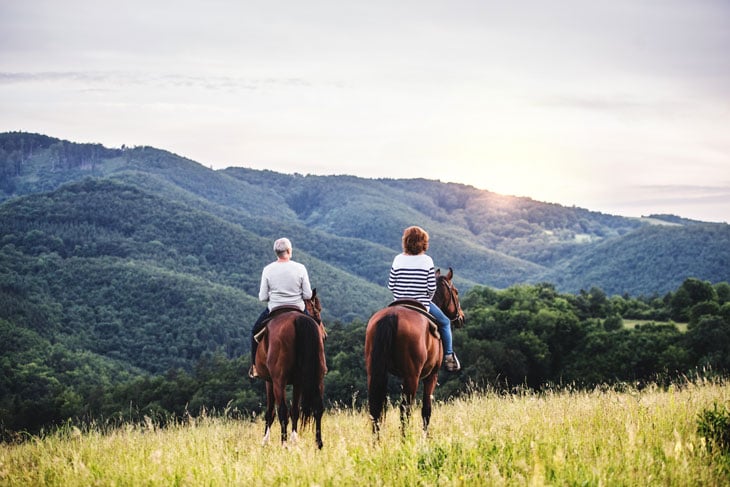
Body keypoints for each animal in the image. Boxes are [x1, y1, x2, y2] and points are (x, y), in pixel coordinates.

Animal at [253, 290, 328, 450]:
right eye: (318, 311)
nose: (325, 335)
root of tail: (297, 320)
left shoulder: (269, 381)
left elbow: (271, 412)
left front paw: (265, 441)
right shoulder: (298, 383)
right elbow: (296, 411)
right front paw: (295, 439)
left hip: (278, 381)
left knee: (282, 411)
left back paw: (284, 444)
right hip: (318, 377)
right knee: (318, 408)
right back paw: (318, 444)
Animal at [362, 270, 460, 438]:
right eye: (456, 292)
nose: (461, 317)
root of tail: (392, 315)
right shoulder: (431, 376)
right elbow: (426, 410)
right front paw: (426, 437)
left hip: (375, 372)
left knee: (375, 408)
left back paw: (377, 441)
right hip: (412, 376)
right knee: (405, 410)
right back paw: (405, 439)